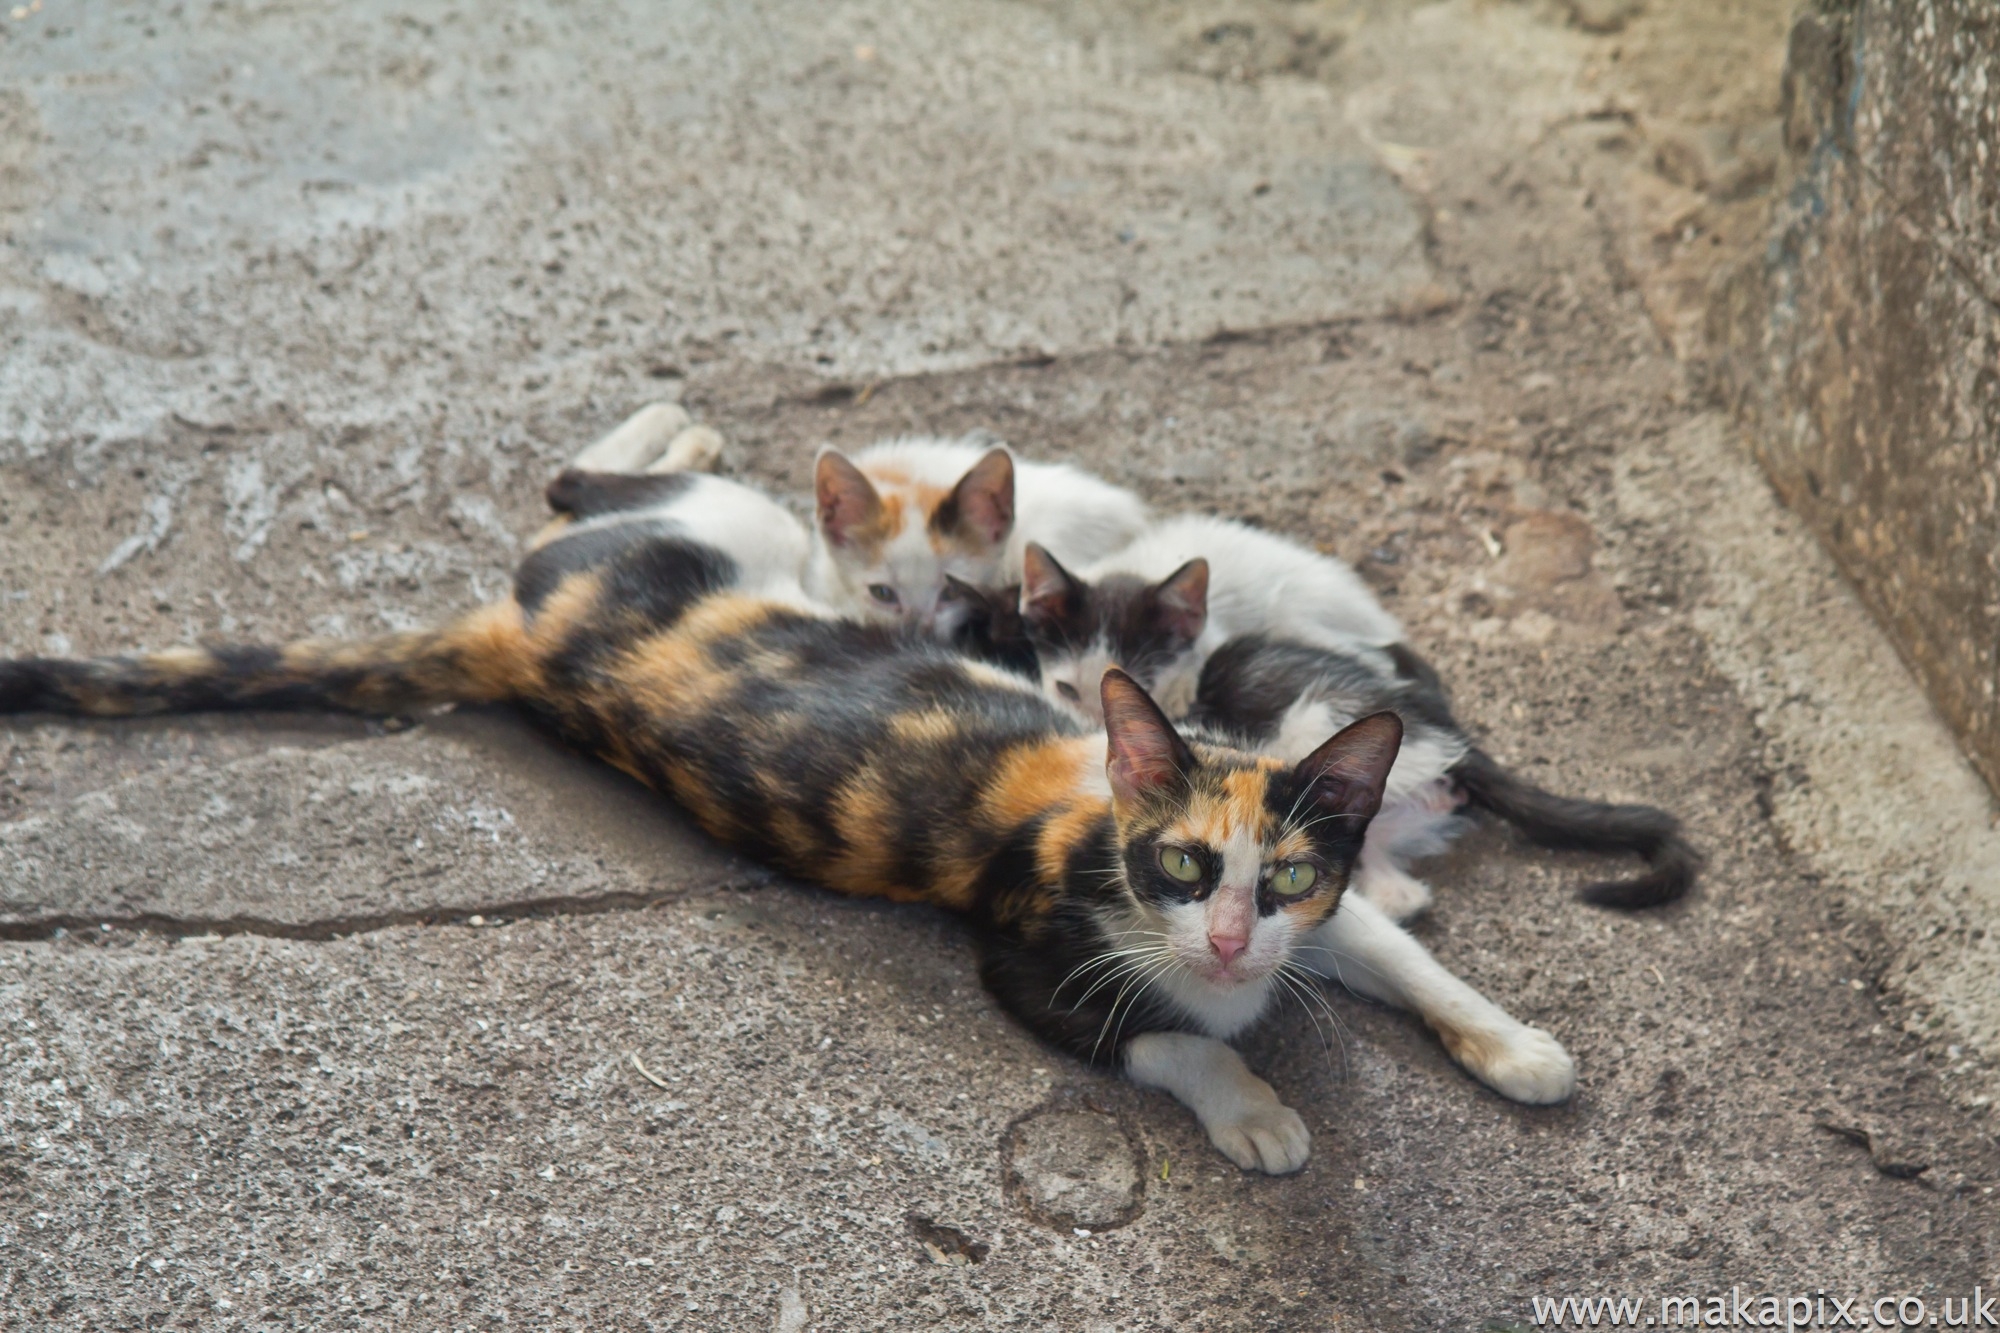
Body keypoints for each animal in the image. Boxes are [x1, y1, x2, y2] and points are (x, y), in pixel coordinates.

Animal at [0, 462, 1576, 1168]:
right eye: (1181, 863)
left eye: (1286, 873)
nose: (1241, 940)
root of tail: (521, 642)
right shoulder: (1033, 954)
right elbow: (1169, 1039)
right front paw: (1253, 1106)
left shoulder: (1323, 908)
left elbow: (1400, 955)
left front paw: (1516, 1044)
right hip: (721, 529)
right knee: (613, 476)